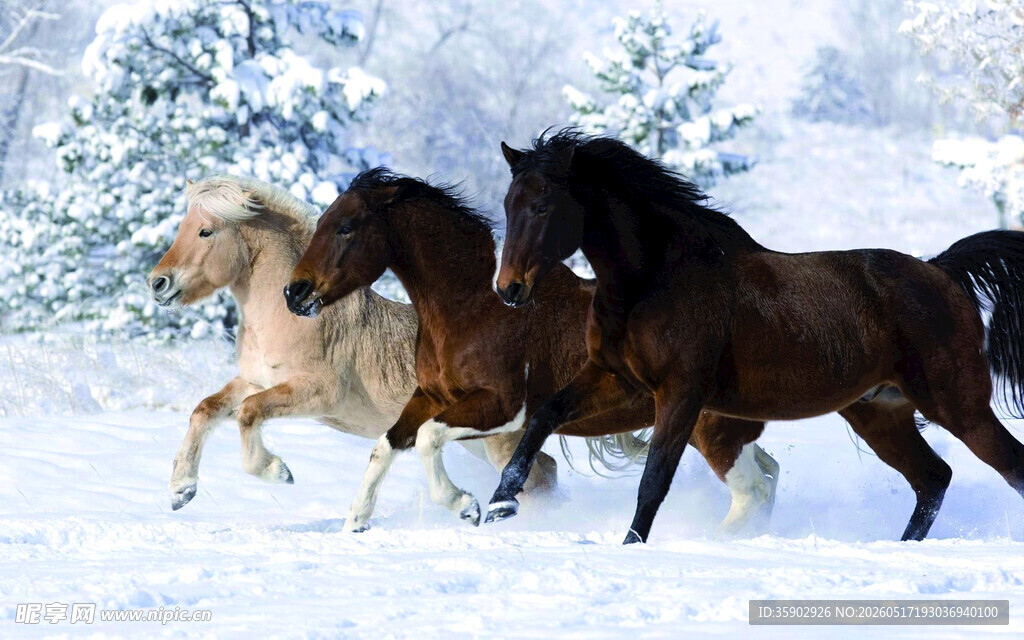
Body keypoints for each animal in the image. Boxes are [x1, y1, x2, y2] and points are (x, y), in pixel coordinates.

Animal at [148, 174, 560, 511]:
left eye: (206, 232)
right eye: (183, 226)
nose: (157, 283)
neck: (289, 316)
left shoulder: (318, 392)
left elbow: (248, 412)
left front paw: (277, 471)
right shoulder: (255, 381)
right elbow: (205, 410)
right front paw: (181, 490)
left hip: (496, 439)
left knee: (535, 478)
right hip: (475, 438)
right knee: (546, 469)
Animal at [285, 167, 780, 533]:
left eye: (346, 228)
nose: (294, 292)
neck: (472, 307)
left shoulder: (502, 407)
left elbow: (427, 439)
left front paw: (467, 506)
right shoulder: (430, 396)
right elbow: (385, 446)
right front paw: (356, 522)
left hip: (710, 429)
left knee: (752, 491)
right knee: (768, 476)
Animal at [488, 130, 1024, 544]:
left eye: (542, 206)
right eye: (509, 204)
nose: (509, 289)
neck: (655, 278)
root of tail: (941, 271)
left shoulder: (681, 393)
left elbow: (653, 479)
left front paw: (629, 547)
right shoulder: (615, 378)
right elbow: (543, 418)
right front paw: (499, 505)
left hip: (958, 406)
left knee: (1006, 467)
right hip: (881, 413)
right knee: (933, 479)